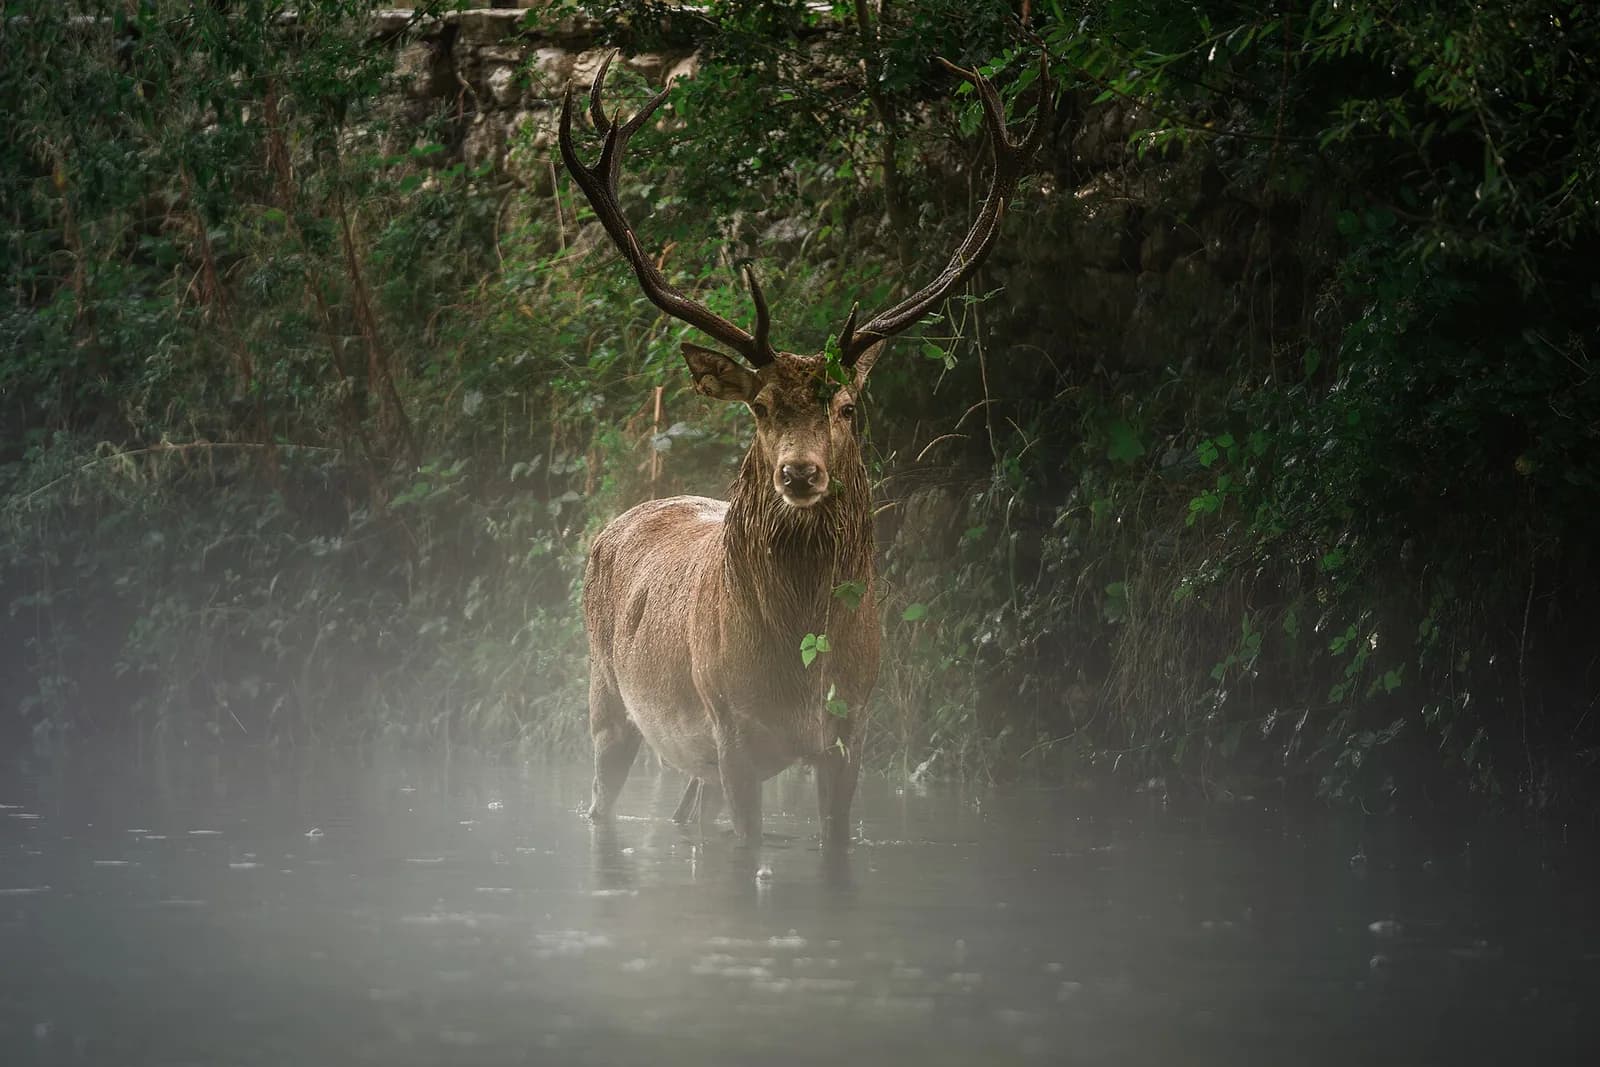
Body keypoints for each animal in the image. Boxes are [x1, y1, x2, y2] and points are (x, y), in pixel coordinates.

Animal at [562, 50, 1049, 847]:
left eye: (847, 407)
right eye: (760, 407)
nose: (798, 471)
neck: (798, 668)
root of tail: (614, 523)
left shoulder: (852, 728)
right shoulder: (729, 726)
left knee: (686, 814)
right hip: (607, 696)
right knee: (602, 798)